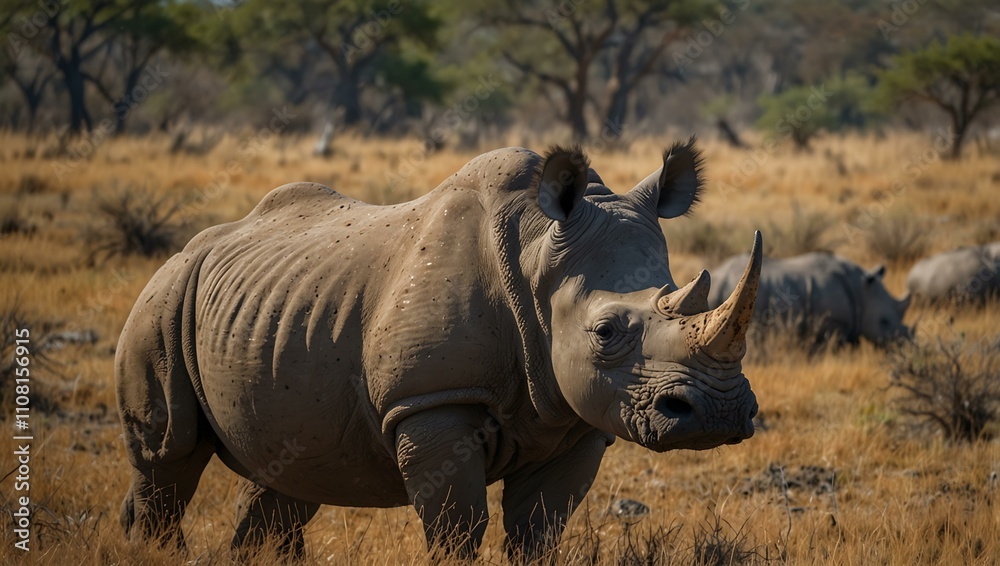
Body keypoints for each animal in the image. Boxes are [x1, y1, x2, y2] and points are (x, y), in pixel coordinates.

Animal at [115, 141, 763, 560]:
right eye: (605, 332)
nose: (720, 413)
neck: (538, 258)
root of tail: (188, 249)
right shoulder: (431, 399)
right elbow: (458, 526)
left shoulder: (576, 419)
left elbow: (539, 531)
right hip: (162, 298)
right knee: (168, 454)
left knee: (283, 478)